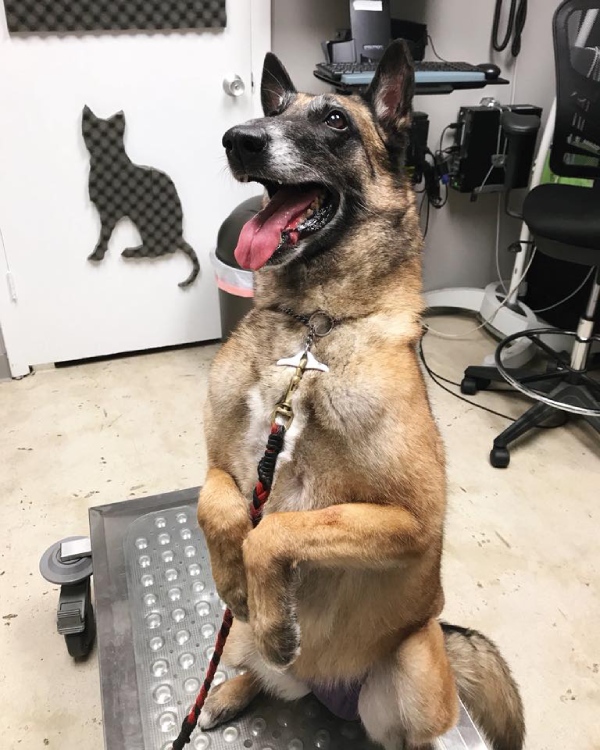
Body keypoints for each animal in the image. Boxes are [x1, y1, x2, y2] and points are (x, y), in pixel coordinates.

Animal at [81, 107, 199, 290]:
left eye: (107, 135)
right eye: (92, 133)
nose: (100, 144)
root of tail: (180, 237)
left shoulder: (109, 213)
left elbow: (104, 235)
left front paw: (97, 254)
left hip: (146, 217)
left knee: (162, 249)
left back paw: (131, 252)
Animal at [197, 42, 524, 750]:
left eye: (334, 121)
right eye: (275, 113)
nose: (238, 140)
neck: (311, 325)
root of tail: (331, 692)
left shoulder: (409, 520)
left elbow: (278, 530)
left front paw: (269, 607)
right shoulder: (216, 469)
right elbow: (221, 510)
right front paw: (234, 582)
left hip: (414, 667)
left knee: (417, 734)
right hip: (238, 646)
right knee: (263, 672)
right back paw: (230, 690)